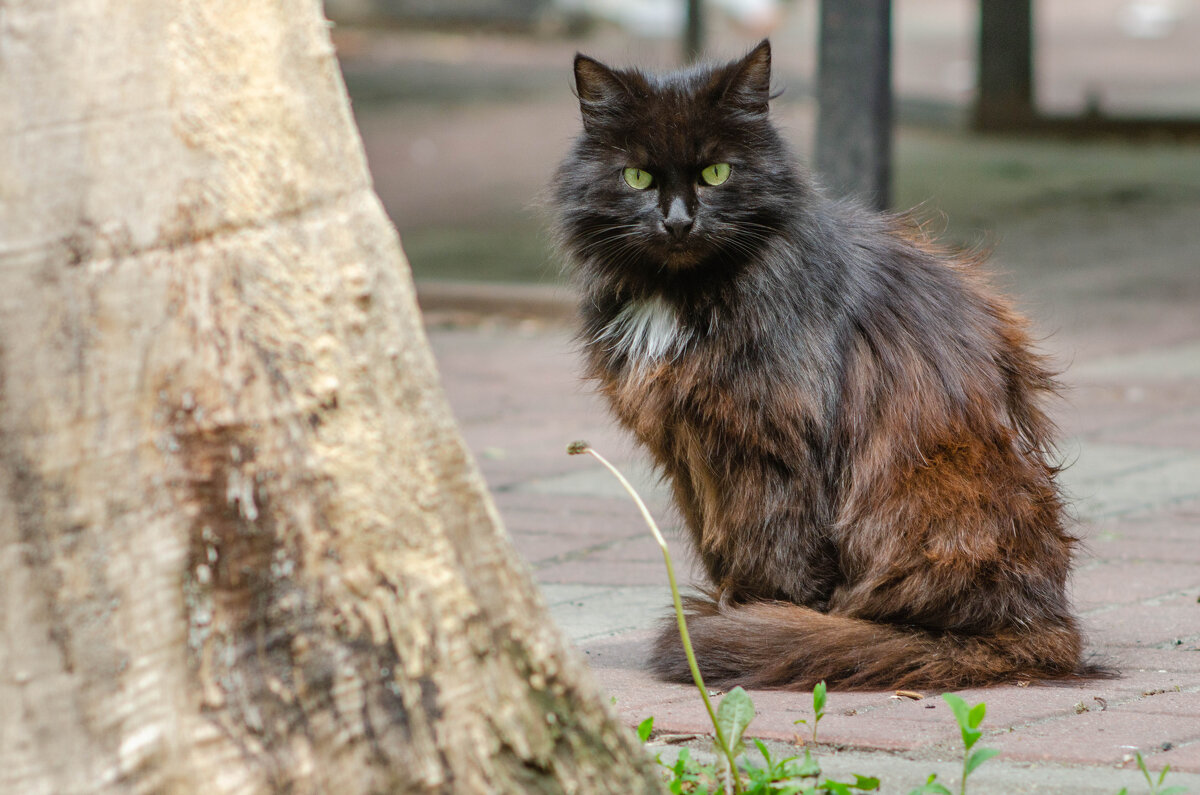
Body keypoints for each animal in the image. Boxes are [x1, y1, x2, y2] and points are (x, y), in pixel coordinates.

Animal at [549, 42, 1099, 691]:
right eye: (636, 177)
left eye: (717, 173)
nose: (679, 222)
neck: (683, 297)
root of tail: (1042, 624)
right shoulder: (691, 453)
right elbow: (726, 549)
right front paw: (742, 610)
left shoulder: (773, 449)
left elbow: (778, 554)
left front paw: (763, 620)